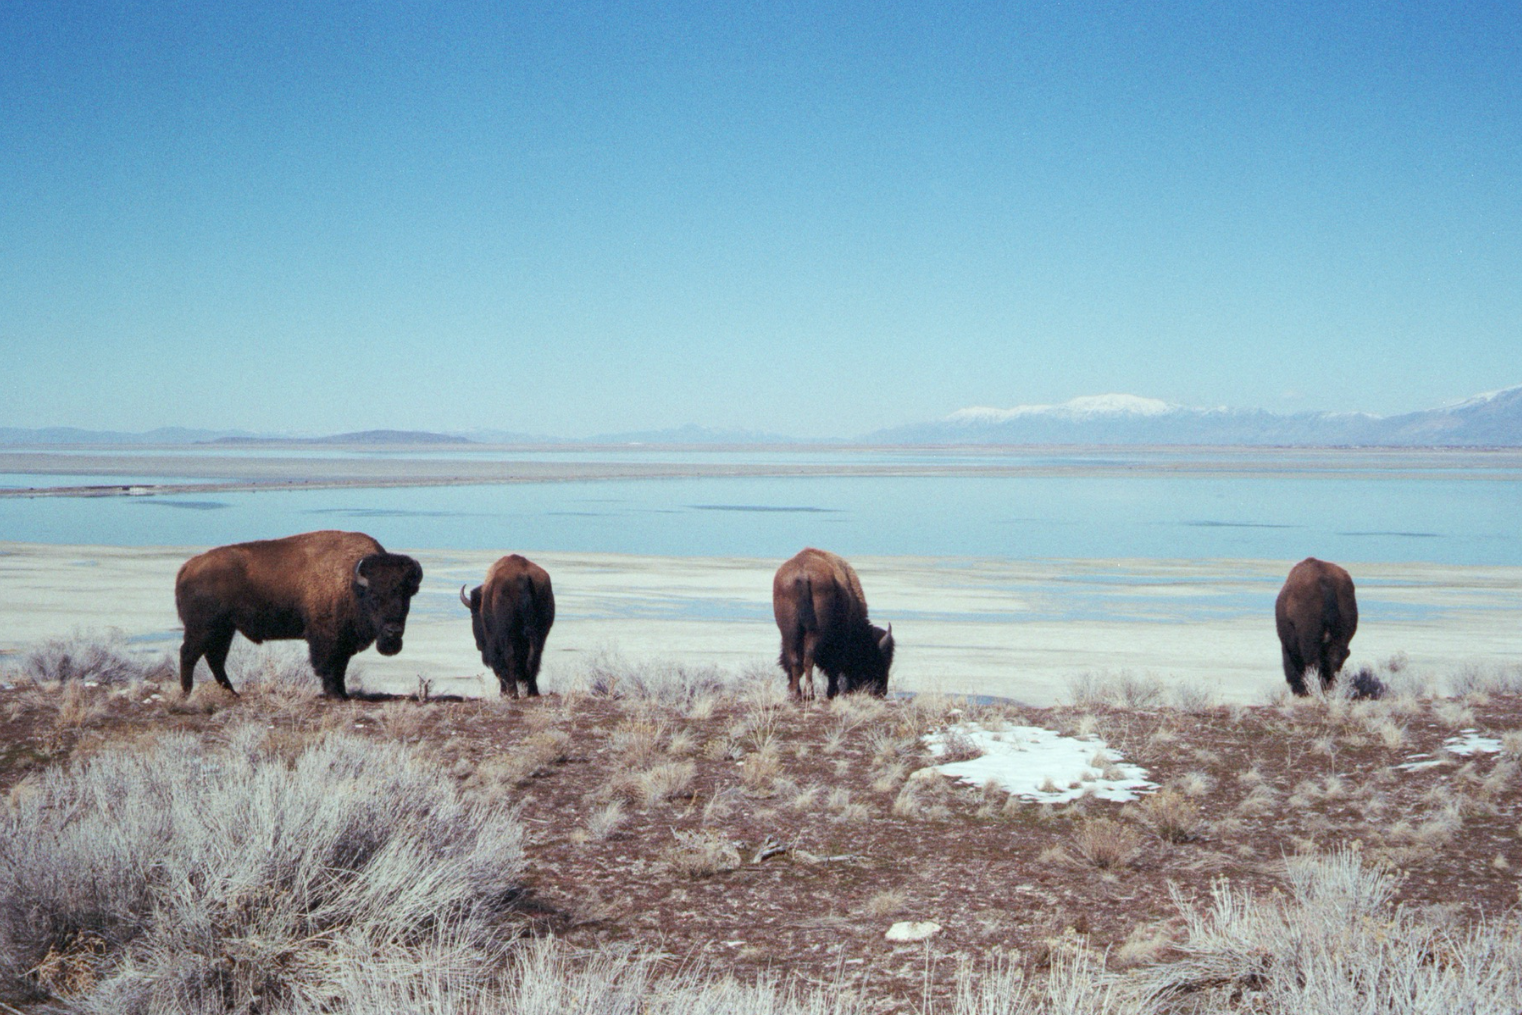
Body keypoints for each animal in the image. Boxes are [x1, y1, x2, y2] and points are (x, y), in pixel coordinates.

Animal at [174, 532, 423, 700]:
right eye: (374, 597)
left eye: (406, 597)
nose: (393, 631)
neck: (352, 583)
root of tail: (189, 566)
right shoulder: (326, 638)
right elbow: (329, 665)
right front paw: (335, 695)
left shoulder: (344, 641)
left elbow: (341, 666)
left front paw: (343, 694)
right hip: (203, 629)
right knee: (189, 654)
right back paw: (187, 693)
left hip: (224, 630)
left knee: (215, 658)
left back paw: (232, 692)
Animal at [465, 556, 563, 700]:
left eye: (474, 614)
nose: (478, 645)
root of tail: (524, 577)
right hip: (540, 633)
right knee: (535, 657)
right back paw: (532, 692)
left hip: (507, 635)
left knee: (509, 657)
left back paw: (513, 693)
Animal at [773, 547, 888, 700]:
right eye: (875, 659)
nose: (882, 691)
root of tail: (802, 575)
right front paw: (833, 692)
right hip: (814, 632)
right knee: (809, 659)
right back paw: (810, 694)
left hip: (790, 632)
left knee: (796, 659)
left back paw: (797, 694)